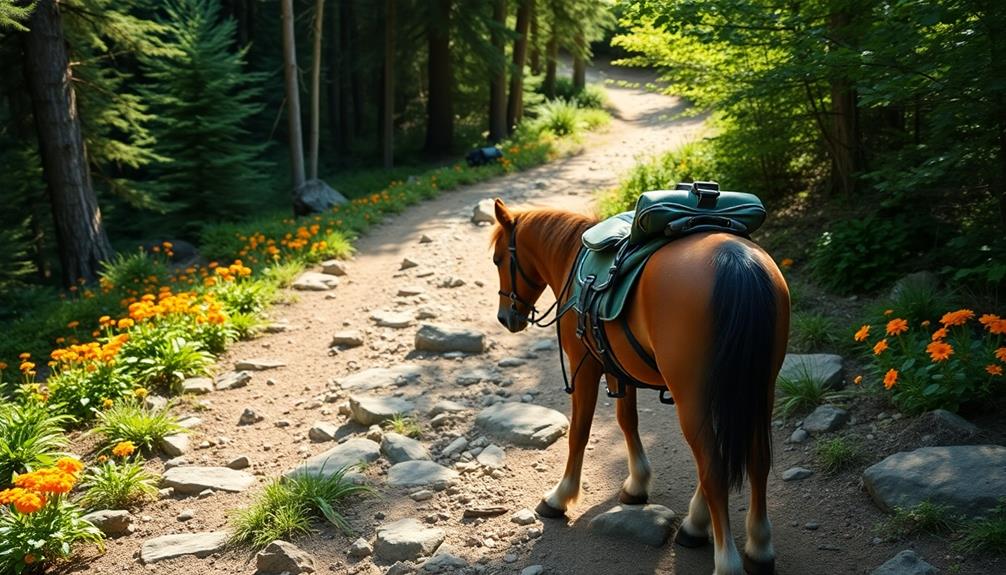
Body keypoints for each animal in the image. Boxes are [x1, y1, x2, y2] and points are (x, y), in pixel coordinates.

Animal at [490, 199, 788, 575]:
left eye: (498, 259)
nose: (505, 317)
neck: (574, 259)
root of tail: (737, 261)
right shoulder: (620, 369)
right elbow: (627, 421)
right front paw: (637, 485)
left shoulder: (586, 368)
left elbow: (579, 433)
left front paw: (560, 497)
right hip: (756, 390)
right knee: (756, 460)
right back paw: (751, 545)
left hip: (693, 397)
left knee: (714, 469)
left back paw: (725, 558)